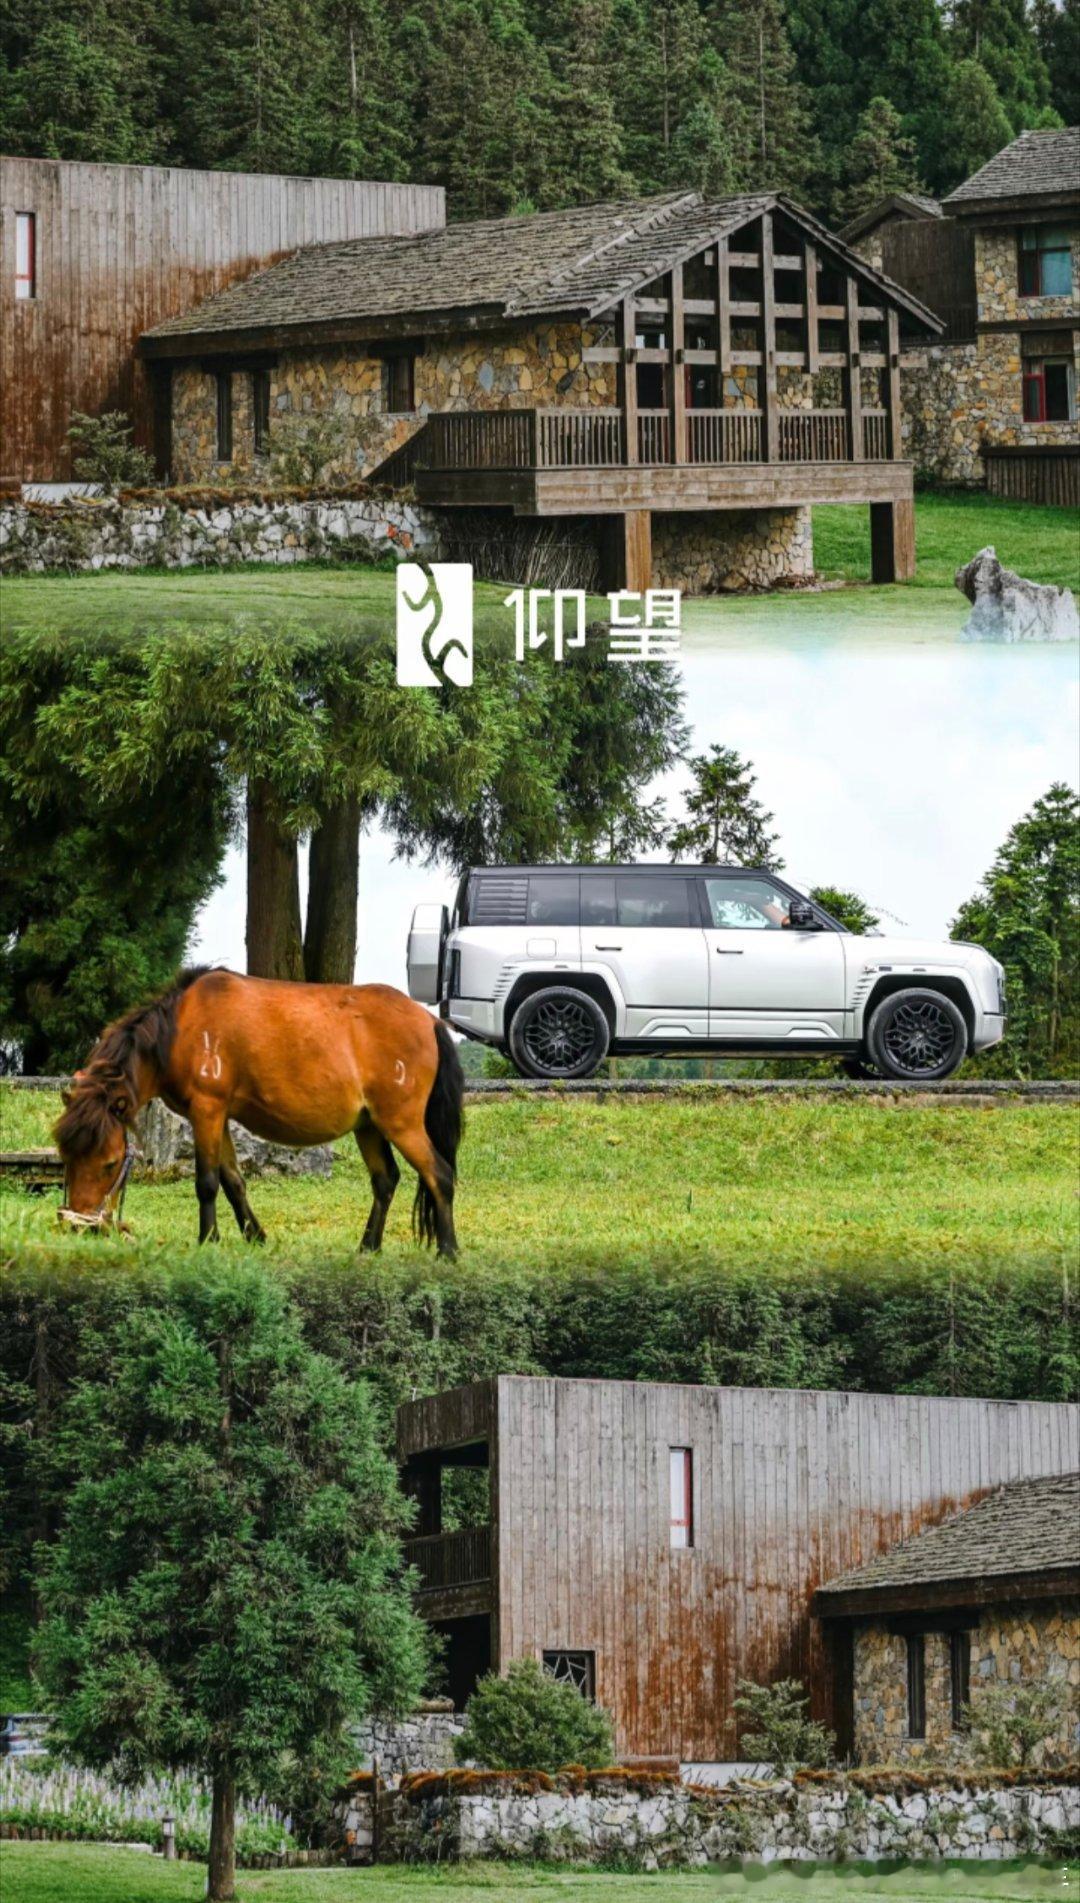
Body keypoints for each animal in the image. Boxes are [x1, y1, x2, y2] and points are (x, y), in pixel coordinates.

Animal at [54, 967, 464, 1256]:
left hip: (401, 1123)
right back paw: (368, 1246)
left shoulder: (207, 1110)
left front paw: (209, 1239)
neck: (180, 1029)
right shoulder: (217, 1117)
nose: (79, 1224)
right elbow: (233, 1181)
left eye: (109, 1163)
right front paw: (255, 1236)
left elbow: (207, 1182)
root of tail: (429, 1021)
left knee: (440, 1175)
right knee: (385, 1180)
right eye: (66, 1157)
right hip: (369, 1126)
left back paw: (447, 1251)